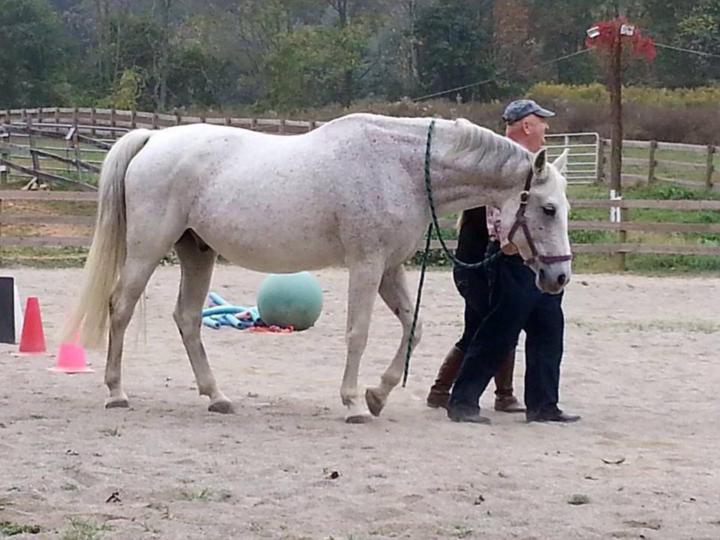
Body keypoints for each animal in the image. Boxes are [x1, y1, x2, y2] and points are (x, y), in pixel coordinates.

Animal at [63, 113, 571, 423]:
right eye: (547, 209)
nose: (559, 277)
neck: (402, 167)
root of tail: (152, 139)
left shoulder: (390, 269)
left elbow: (414, 326)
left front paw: (378, 394)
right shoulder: (366, 266)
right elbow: (358, 333)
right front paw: (353, 403)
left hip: (198, 253)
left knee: (187, 319)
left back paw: (217, 396)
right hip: (147, 249)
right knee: (121, 308)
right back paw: (116, 393)